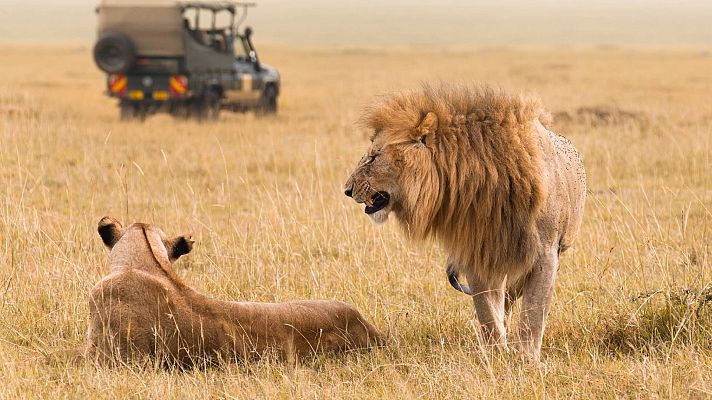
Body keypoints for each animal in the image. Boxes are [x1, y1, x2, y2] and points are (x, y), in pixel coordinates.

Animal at [344, 85, 586, 361]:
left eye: (373, 158)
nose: (347, 190)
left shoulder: (545, 253)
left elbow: (534, 312)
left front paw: (526, 358)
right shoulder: (478, 252)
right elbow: (487, 311)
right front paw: (496, 355)